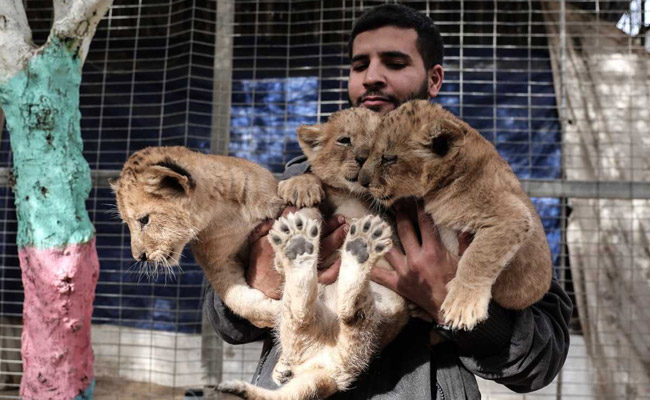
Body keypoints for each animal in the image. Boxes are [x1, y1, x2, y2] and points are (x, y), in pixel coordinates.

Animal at [111, 146, 287, 329]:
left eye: (144, 220)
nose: (139, 257)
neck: (223, 212)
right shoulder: (219, 262)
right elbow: (238, 300)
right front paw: (277, 311)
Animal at [217, 108, 409, 400]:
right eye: (345, 140)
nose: (363, 158)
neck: (351, 193)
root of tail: (334, 370)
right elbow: (313, 193)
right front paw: (300, 187)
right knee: (302, 315)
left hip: (382, 314)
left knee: (346, 310)